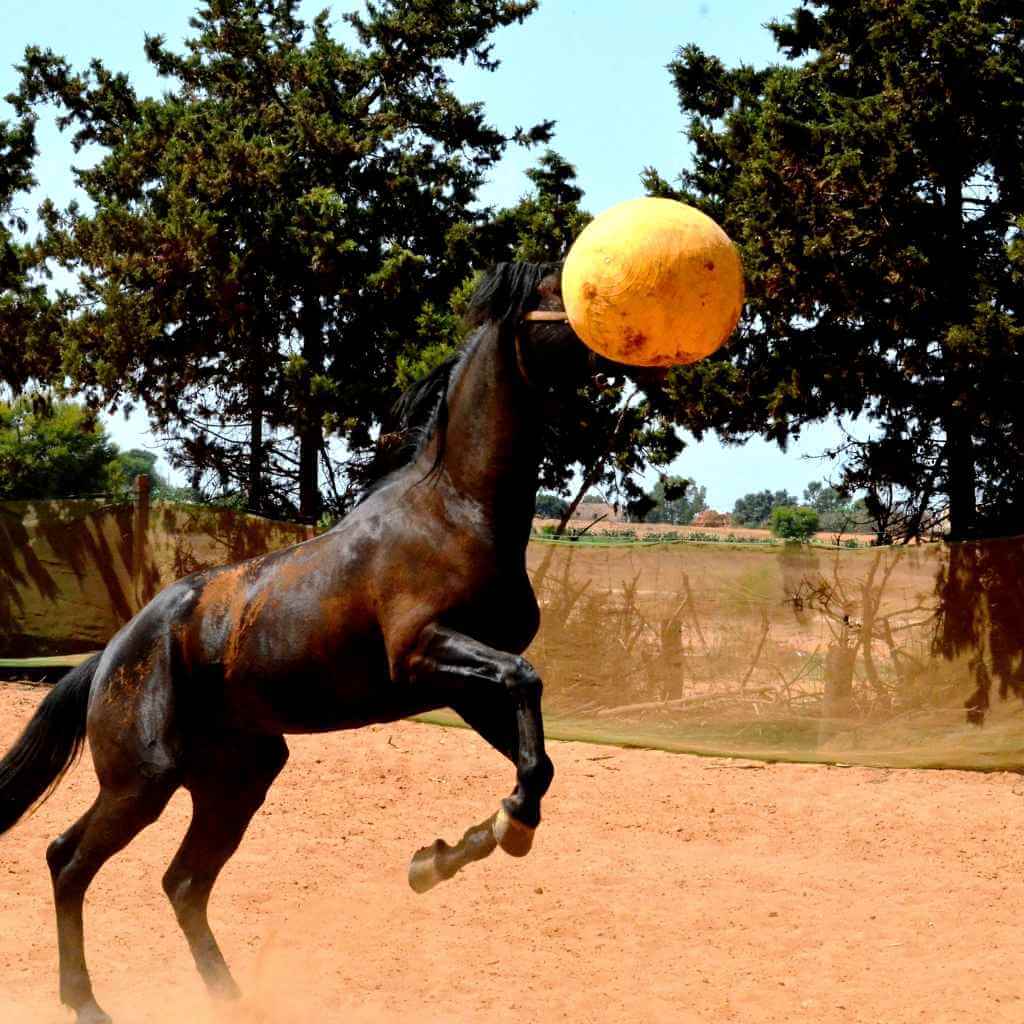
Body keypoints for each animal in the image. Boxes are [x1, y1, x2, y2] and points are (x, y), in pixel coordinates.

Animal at [0, 262, 644, 1024]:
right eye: (557, 293)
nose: (628, 347)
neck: (454, 510)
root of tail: (111, 654)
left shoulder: (461, 687)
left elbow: (536, 762)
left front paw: (446, 854)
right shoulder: (425, 654)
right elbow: (525, 682)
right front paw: (485, 836)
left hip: (239, 778)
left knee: (182, 882)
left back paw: (235, 999)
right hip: (142, 780)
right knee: (67, 860)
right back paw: (87, 1003)